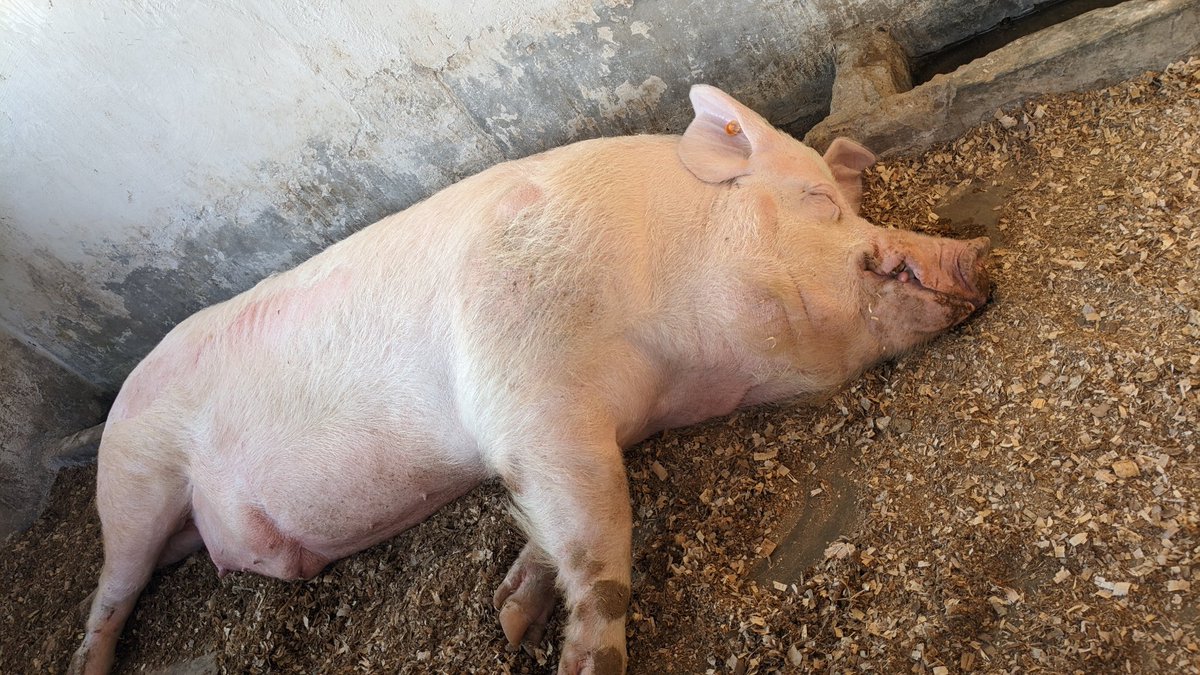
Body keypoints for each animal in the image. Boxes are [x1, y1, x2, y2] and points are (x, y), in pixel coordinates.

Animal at [70, 84, 990, 675]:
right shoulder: (523, 390)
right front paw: (572, 656)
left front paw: (510, 613)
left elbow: (560, 519)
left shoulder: (588, 425)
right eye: (819, 201)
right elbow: (601, 531)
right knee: (112, 588)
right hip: (135, 479)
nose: (977, 253)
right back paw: (89, 663)